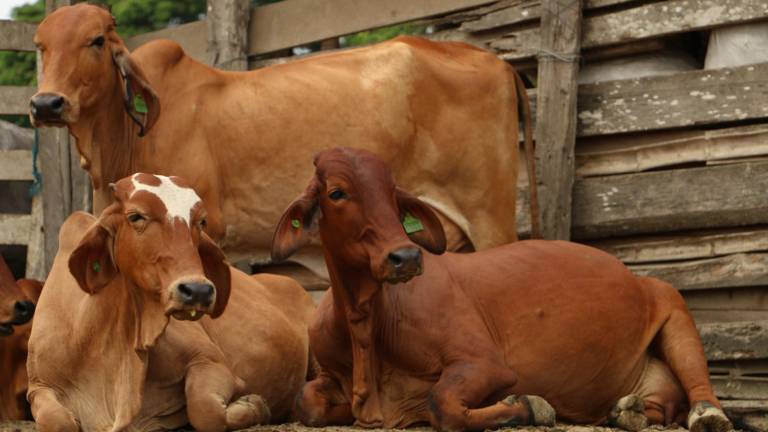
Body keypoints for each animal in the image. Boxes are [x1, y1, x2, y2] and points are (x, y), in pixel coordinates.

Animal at [270, 148, 732, 432]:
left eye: (392, 194)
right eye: (337, 192)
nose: (406, 257)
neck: (366, 322)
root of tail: (636, 279)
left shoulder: (486, 364)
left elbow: (443, 404)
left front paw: (529, 406)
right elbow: (305, 401)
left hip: (671, 301)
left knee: (699, 387)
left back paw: (705, 414)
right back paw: (627, 410)